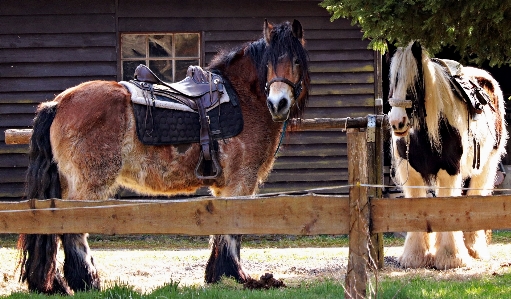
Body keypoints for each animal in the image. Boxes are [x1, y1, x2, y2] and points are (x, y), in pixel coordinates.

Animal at [19, 19, 308, 296]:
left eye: (296, 60)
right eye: (269, 62)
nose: (278, 104)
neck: (243, 98)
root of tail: (58, 103)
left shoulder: (224, 187)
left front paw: (217, 276)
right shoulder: (240, 182)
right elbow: (232, 229)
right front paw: (235, 276)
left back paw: (56, 284)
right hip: (88, 186)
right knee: (72, 228)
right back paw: (86, 282)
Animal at [390, 41, 506, 270]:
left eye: (414, 83)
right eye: (392, 82)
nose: (397, 123)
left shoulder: (449, 172)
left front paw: (451, 257)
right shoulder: (412, 175)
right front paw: (415, 257)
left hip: (485, 168)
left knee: (474, 197)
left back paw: (473, 250)